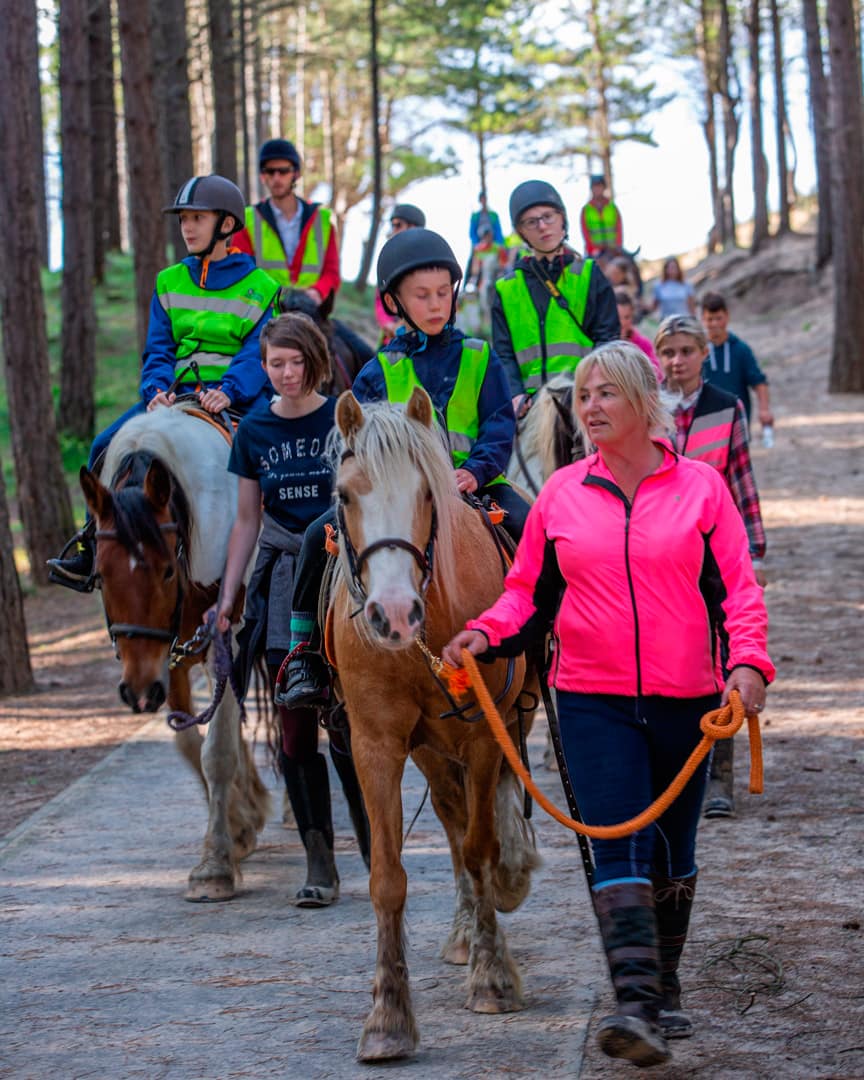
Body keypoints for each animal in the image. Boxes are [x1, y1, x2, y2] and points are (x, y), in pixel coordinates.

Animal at [84, 406, 267, 902]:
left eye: (167, 571)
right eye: (100, 576)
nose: (138, 692)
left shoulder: (228, 635)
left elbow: (216, 749)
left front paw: (214, 866)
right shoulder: (168, 655)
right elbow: (189, 743)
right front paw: (236, 828)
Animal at [328, 390, 540, 1062]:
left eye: (427, 492)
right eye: (346, 495)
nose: (393, 615)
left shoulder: (483, 734)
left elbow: (480, 846)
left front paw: (493, 976)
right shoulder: (377, 745)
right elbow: (388, 877)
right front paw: (388, 1017)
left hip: (509, 718)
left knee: (485, 818)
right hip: (428, 749)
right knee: (450, 819)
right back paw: (464, 929)